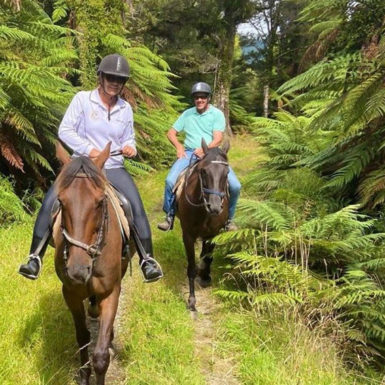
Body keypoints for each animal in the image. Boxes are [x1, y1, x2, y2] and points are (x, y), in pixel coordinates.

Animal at [52, 143, 131, 384]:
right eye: (61, 201)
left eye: (99, 202)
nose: (77, 270)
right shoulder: (70, 293)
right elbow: (83, 337)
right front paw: (84, 374)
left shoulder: (111, 291)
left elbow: (101, 355)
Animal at [176, 140, 228, 310]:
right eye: (203, 171)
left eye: (227, 173)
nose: (215, 207)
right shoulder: (187, 236)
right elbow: (191, 268)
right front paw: (192, 300)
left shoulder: (214, 233)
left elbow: (208, 258)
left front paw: (205, 276)